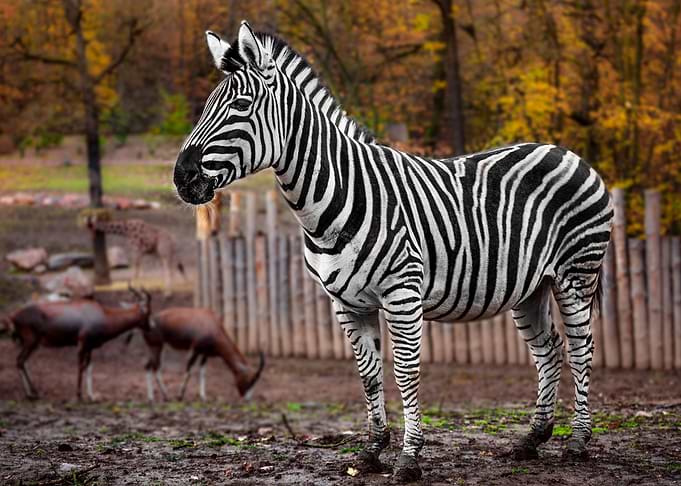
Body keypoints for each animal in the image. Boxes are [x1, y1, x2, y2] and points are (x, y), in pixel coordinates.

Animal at [173, 21, 614, 482]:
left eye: (241, 106)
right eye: (205, 108)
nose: (181, 177)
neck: (334, 199)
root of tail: (566, 151)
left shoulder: (401, 293)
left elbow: (405, 372)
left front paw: (409, 458)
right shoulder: (346, 302)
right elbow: (369, 374)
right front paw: (371, 452)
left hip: (575, 273)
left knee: (582, 347)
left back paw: (578, 443)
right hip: (531, 286)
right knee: (548, 349)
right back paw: (531, 440)